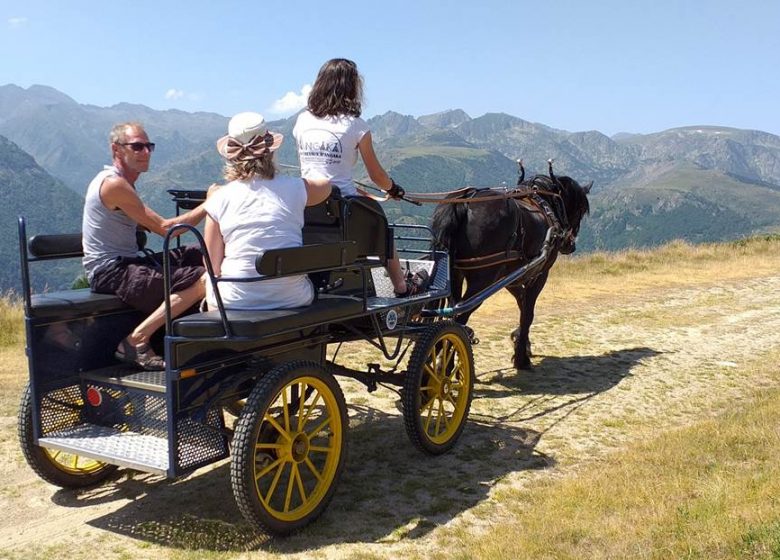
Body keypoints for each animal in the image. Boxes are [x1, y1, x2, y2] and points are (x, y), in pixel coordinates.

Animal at [426, 164, 592, 370]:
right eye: (580, 210)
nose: (570, 245)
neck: (544, 205)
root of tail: (465, 200)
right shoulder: (539, 274)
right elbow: (528, 313)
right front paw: (521, 357)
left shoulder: (512, 278)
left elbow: (522, 305)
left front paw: (521, 341)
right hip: (482, 281)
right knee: (459, 317)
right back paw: (445, 364)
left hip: (455, 275)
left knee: (451, 312)